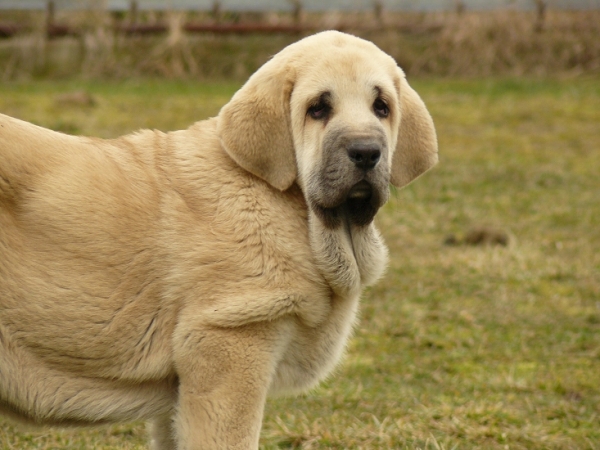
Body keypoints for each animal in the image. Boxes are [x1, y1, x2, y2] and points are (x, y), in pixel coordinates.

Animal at [2, 29, 438, 448]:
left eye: (382, 107)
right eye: (318, 108)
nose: (366, 152)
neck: (292, 210)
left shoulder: (179, 396)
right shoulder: (230, 345)